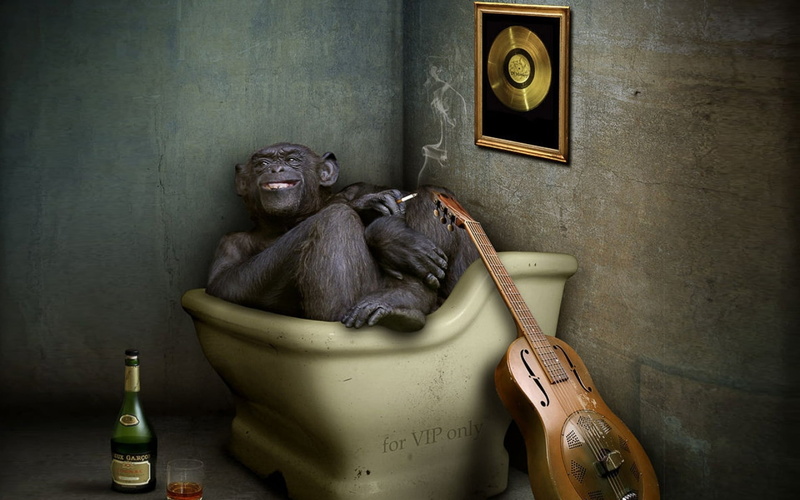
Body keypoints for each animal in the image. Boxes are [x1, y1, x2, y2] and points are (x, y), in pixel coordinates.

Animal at [206, 142, 477, 331]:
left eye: (292, 160)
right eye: (261, 164)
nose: (275, 169)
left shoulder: (360, 186)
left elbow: (398, 193)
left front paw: (385, 225)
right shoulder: (228, 244)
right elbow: (225, 283)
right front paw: (385, 228)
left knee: (430, 193)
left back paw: (404, 300)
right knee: (335, 218)